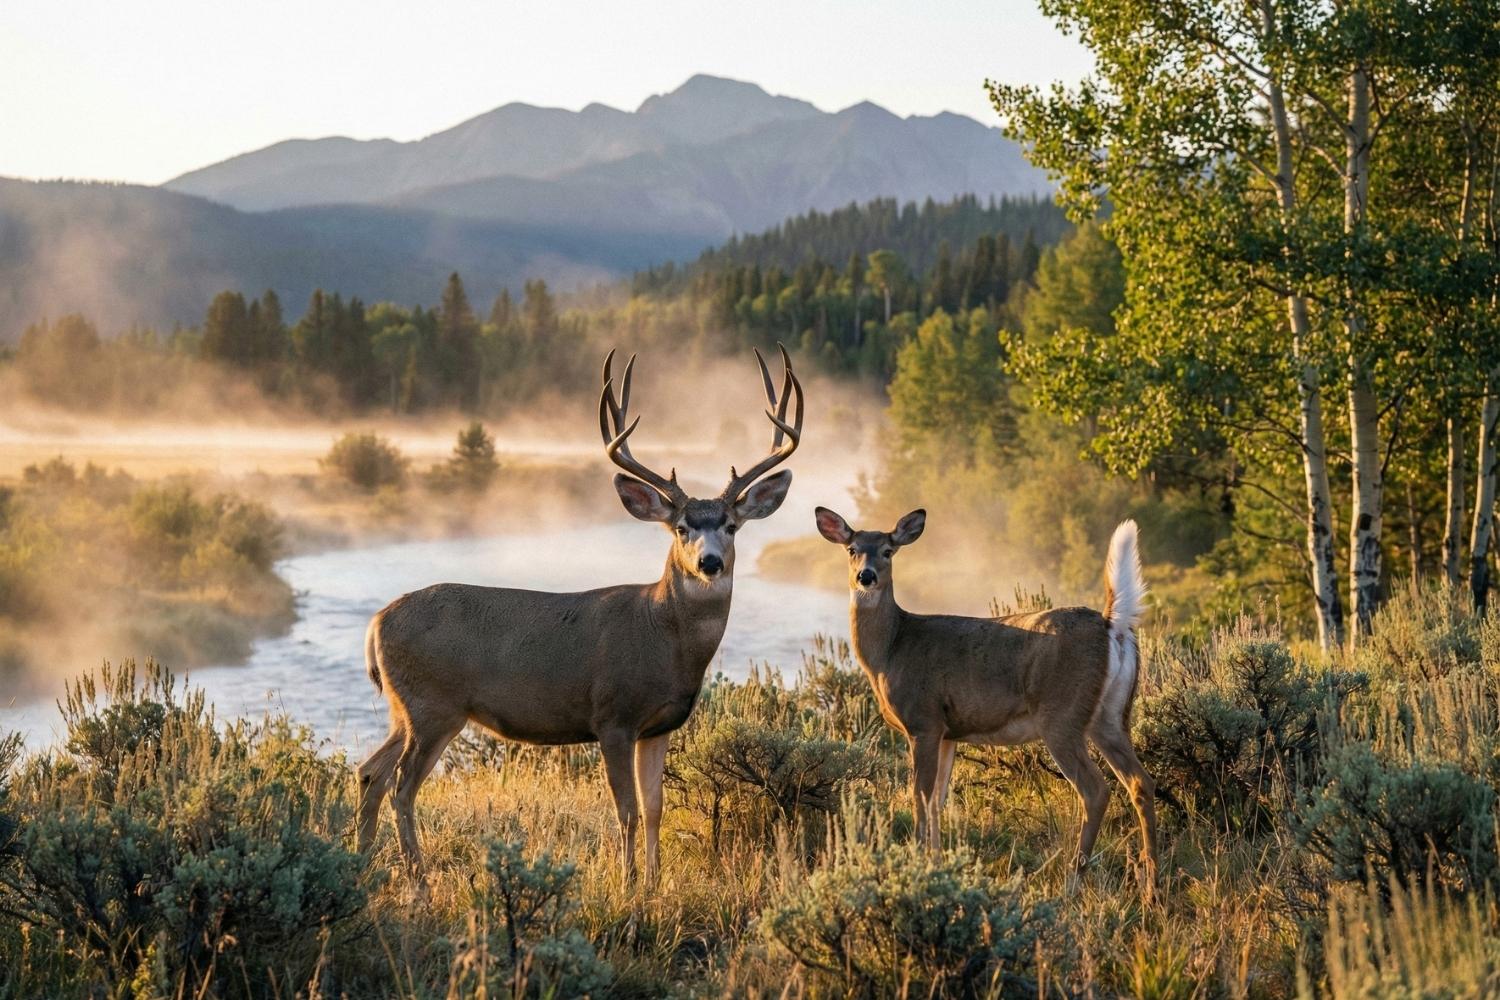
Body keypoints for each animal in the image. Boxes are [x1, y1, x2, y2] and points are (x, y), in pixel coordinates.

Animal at [357, 346, 803, 884]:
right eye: (680, 528)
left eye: (732, 526)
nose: (709, 562)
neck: (663, 635)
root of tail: (377, 622)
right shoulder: (613, 715)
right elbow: (626, 809)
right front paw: (629, 884)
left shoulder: (659, 726)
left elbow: (655, 808)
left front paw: (653, 884)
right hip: (432, 706)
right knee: (402, 786)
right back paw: (417, 880)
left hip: (405, 708)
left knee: (369, 773)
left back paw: (360, 864)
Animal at [813, 507, 1158, 897]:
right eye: (852, 549)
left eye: (888, 550)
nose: (866, 576)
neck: (891, 650)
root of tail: (1111, 625)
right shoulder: (948, 732)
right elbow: (937, 800)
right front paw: (935, 865)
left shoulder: (923, 721)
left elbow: (919, 798)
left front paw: (917, 867)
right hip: (1110, 716)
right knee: (1141, 782)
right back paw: (1152, 887)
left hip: (1062, 715)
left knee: (1096, 790)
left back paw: (1072, 883)